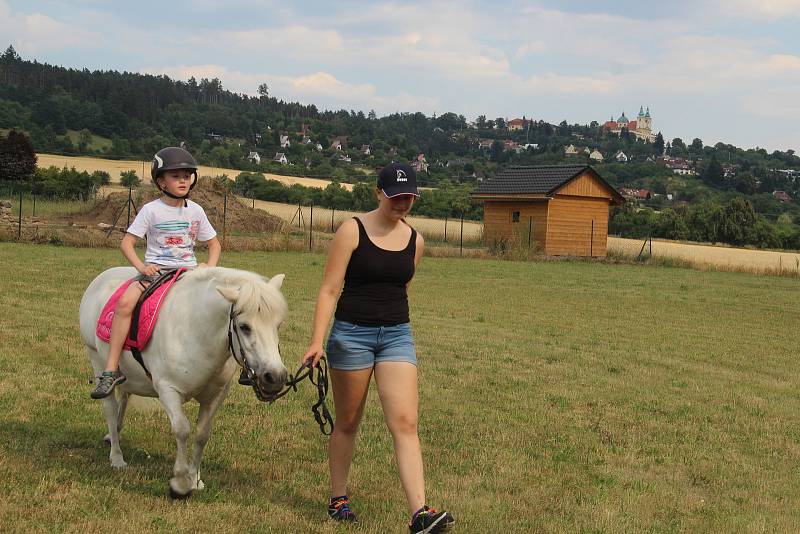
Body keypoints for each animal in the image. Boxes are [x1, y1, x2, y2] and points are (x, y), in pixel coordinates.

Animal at [78, 268, 290, 498]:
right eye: (244, 327)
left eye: (278, 324)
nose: (275, 377)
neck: (196, 330)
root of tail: (102, 278)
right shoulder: (168, 389)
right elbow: (182, 429)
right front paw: (180, 482)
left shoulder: (215, 395)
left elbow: (202, 434)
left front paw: (194, 479)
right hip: (96, 358)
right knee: (109, 407)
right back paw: (117, 457)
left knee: (124, 396)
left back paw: (113, 434)